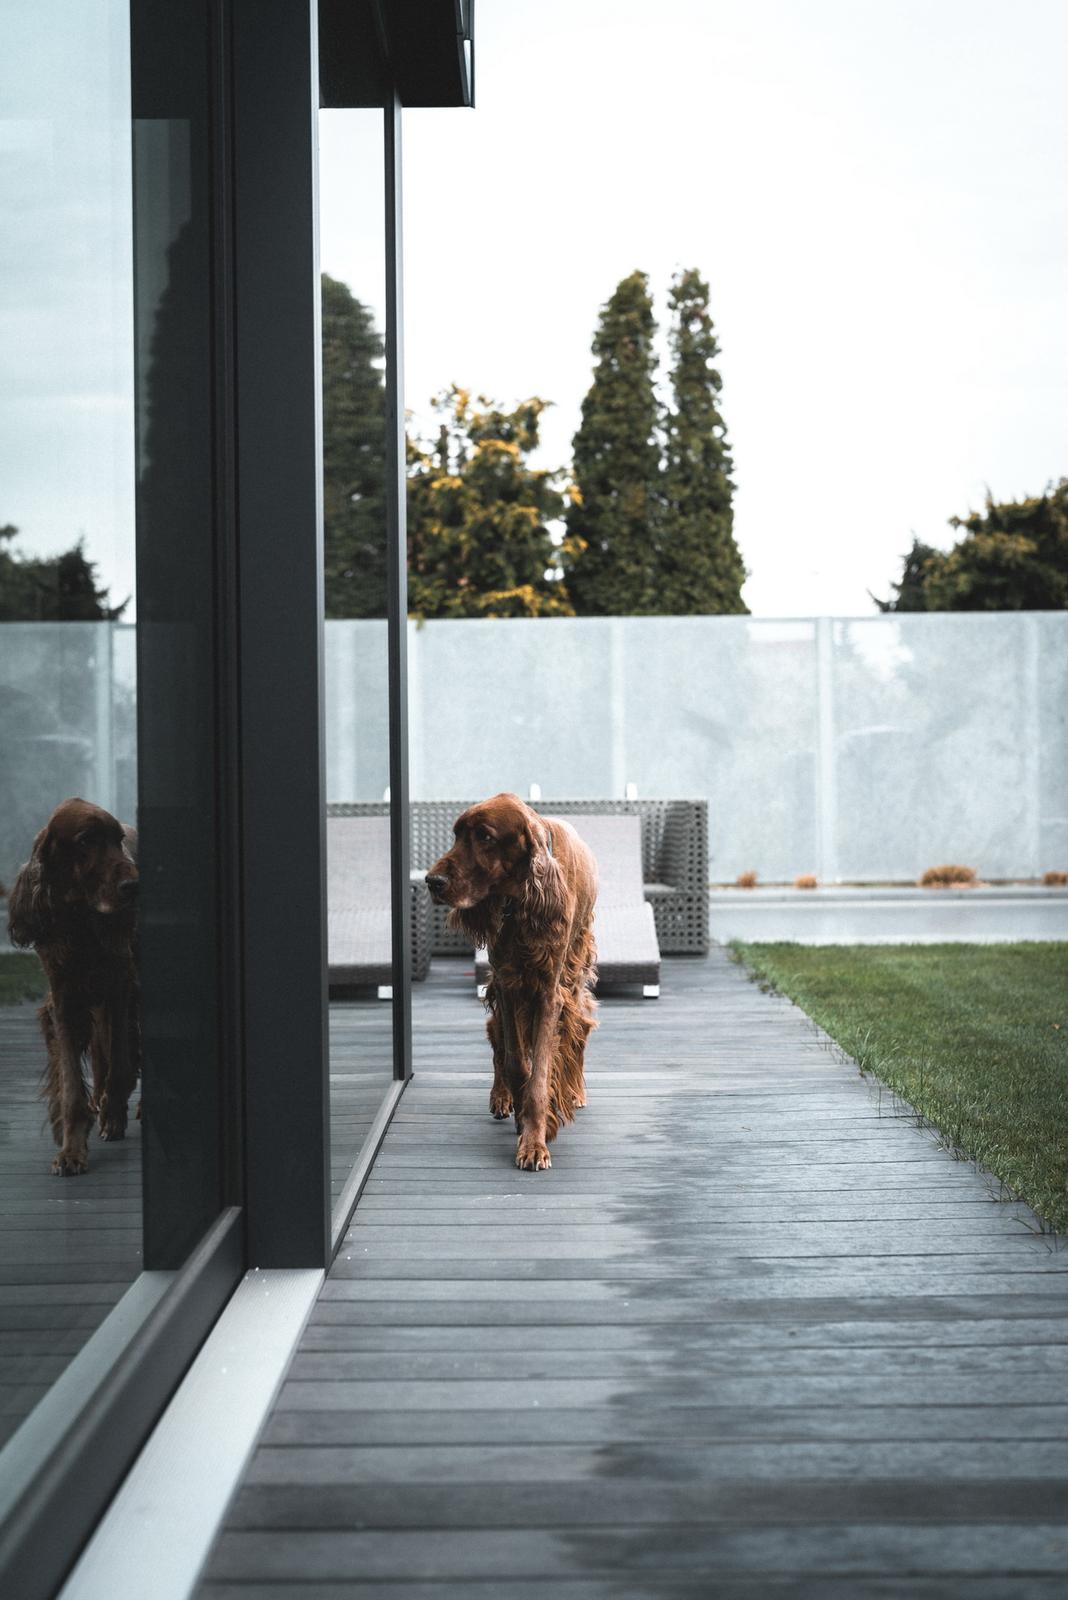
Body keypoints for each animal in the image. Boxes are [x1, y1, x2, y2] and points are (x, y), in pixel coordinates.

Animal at [7, 798, 140, 1176]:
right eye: (86, 841)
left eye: (118, 839)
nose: (133, 886)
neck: (81, 920)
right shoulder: (66, 999)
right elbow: (70, 1085)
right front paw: (71, 1150)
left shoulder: (120, 983)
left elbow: (121, 1061)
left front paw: (113, 1115)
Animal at [426, 793, 597, 1171]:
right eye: (456, 834)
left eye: (484, 836)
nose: (432, 881)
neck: (521, 903)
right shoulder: (506, 983)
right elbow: (516, 1062)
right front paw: (523, 1117)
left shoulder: (550, 992)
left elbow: (542, 1072)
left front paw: (535, 1142)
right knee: (497, 1041)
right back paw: (502, 1097)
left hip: (574, 974)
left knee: (578, 1030)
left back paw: (574, 1092)